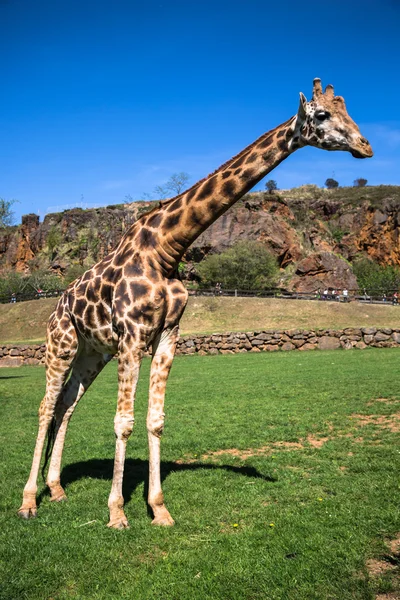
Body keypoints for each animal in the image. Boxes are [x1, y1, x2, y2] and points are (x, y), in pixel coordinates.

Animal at [19, 77, 372, 528]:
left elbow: (155, 421)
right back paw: (29, 500)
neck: (168, 248)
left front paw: (159, 509)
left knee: (66, 405)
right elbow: (123, 422)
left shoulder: (168, 334)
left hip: (92, 353)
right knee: (46, 407)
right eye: (323, 114)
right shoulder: (133, 336)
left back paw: (58, 489)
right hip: (61, 343)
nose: (366, 146)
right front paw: (117, 512)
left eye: (349, 112)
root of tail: (58, 304)